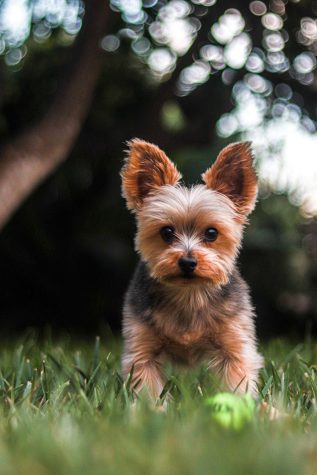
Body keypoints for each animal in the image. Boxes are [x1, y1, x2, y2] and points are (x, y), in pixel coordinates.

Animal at [119, 139, 262, 402]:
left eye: (212, 233)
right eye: (166, 232)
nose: (187, 262)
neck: (189, 295)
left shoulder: (234, 345)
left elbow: (237, 378)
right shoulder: (142, 349)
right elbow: (146, 385)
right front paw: (151, 409)